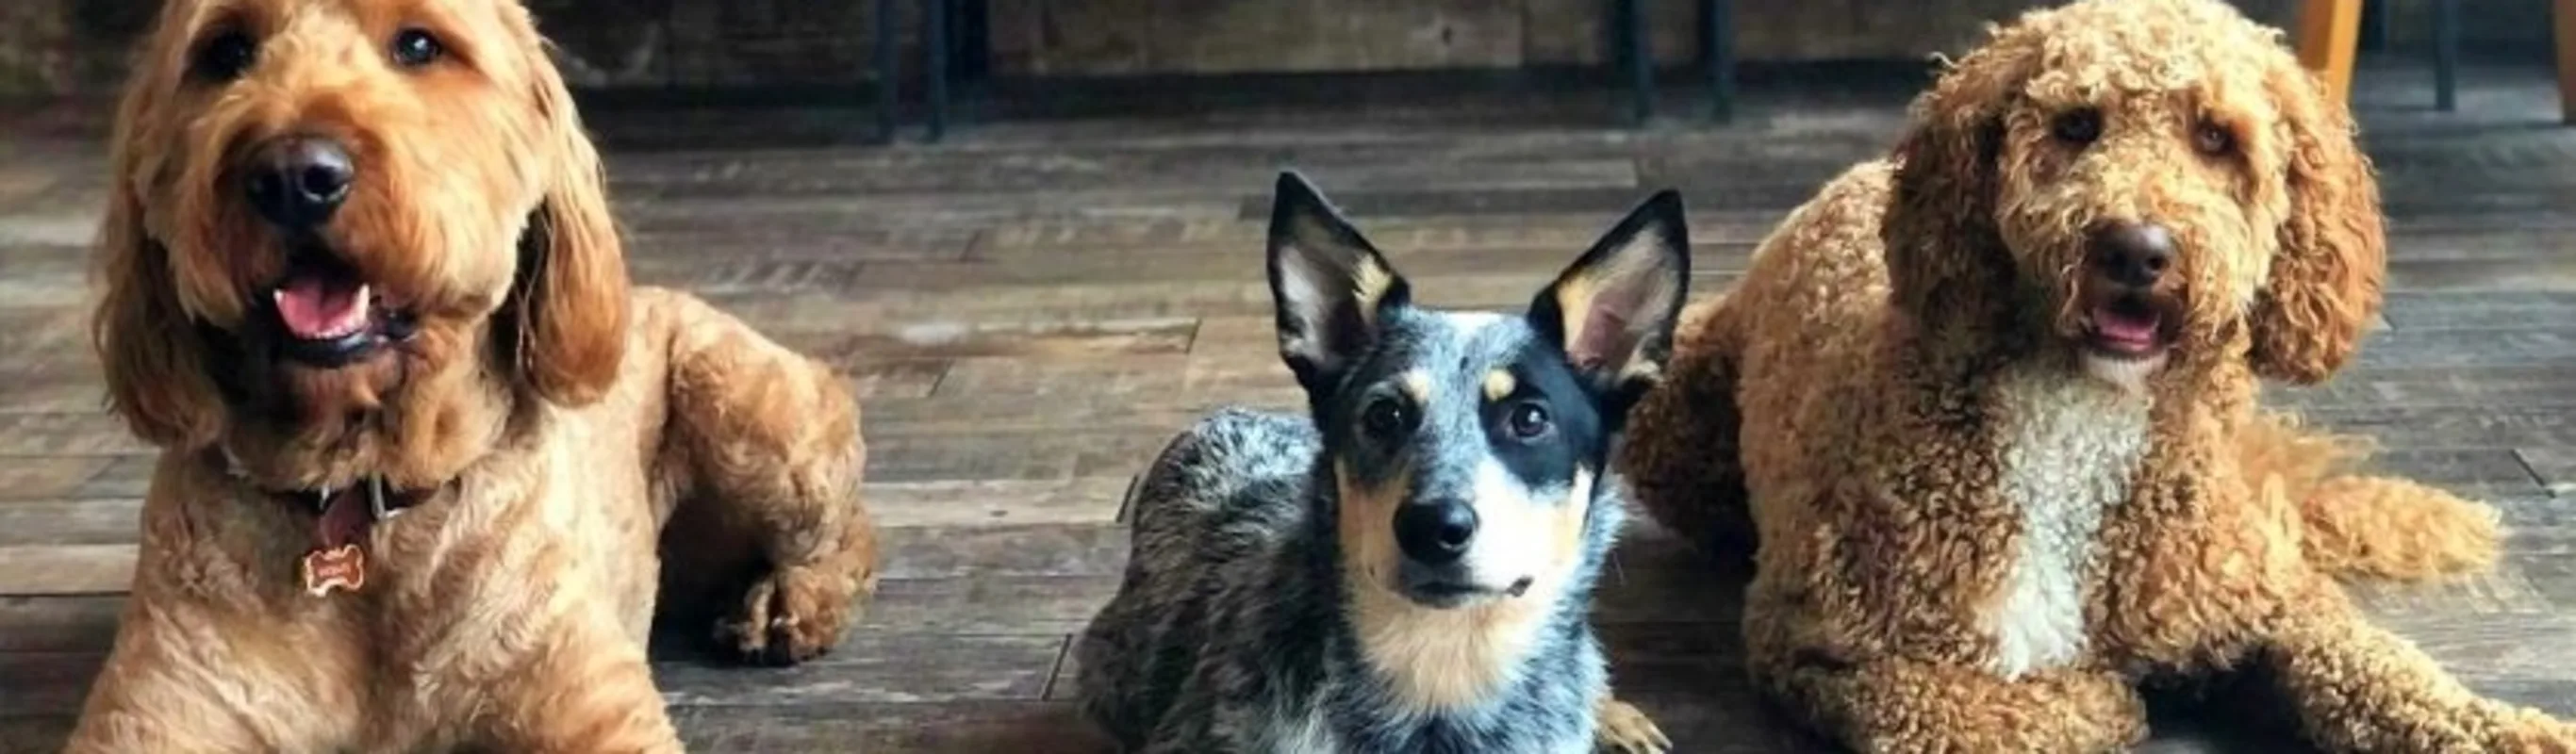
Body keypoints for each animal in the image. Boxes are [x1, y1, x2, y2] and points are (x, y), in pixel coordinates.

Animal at [65, 0, 881, 746]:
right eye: (225, 51)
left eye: (420, 45)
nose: (295, 175)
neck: (360, 491)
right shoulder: (158, 713)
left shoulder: (586, 698)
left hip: (748, 408)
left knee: (850, 534)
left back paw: (789, 602)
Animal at [1617, 1, 2566, 751]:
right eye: (2077, 125)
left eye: (2216, 138)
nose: (2135, 250)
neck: (2083, 416)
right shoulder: (1819, 643)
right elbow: (1967, 707)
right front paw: (2102, 698)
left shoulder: (2271, 595)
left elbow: (2378, 665)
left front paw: (2505, 729)